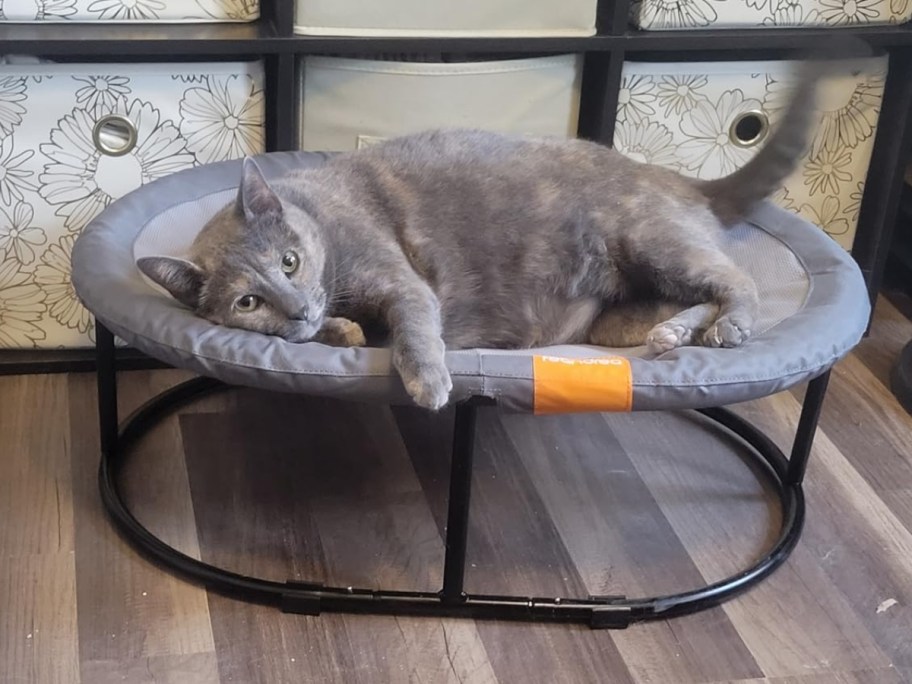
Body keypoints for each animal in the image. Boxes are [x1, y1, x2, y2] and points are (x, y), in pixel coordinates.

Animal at [135, 58, 828, 408]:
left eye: (288, 260)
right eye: (247, 302)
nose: (297, 304)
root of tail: (680, 179)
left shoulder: (400, 280)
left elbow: (414, 324)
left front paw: (428, 380)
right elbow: (339, 333)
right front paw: (340, 331)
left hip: (650, 239)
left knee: (734, 280)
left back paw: (729, 326)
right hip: (616, 317)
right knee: (678, 305)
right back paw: (676, 333)